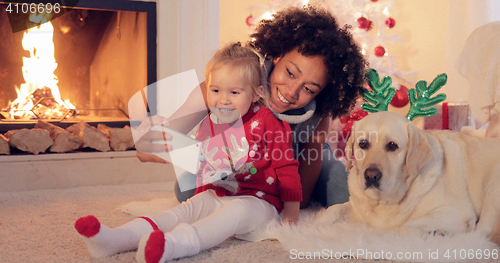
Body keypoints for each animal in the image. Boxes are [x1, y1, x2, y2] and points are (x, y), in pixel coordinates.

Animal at [314, 111, 500, 245]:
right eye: (363, 144)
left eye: (392, 146)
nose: (371, 175)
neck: (384, 202)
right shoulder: (356, 206)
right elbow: (334, 209)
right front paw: (313, 225)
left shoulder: (455, 212)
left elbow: (404, 226)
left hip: (493, 186)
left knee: (481, 232)